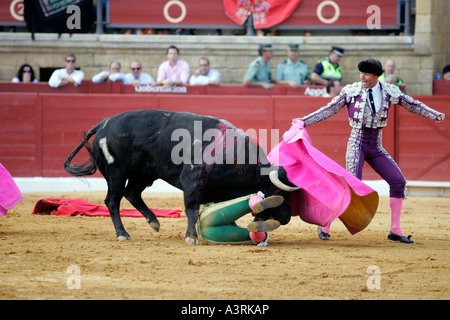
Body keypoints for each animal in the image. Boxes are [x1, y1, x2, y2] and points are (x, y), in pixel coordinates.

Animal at [61, 109, 298, 244]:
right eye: (279, 192)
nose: (286, 219)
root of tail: (104, 123)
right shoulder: (192, 181)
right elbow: (191, 209)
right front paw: (191, 237)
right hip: (116, 173)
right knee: (112, 200)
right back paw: (123, 234)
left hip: (143, 173)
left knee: (132, 194)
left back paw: (154, 221)